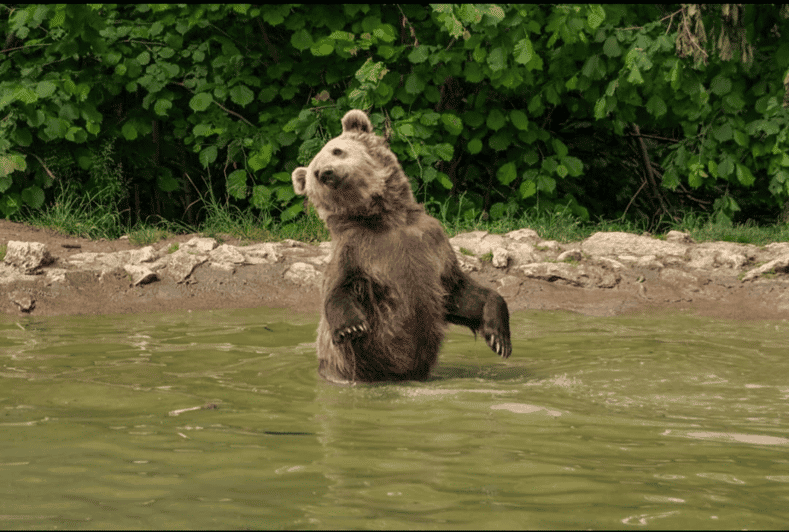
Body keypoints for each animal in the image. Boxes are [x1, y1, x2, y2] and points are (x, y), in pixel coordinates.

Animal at [291, 109, 511, 383]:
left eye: (337, 150)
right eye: (314, 172)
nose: (325, 173)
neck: (386, 218)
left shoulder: (430, 241)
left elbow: (459, 291)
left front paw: (499, 337)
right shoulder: (356, 248)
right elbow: (340, 286)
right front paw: (351, 327)